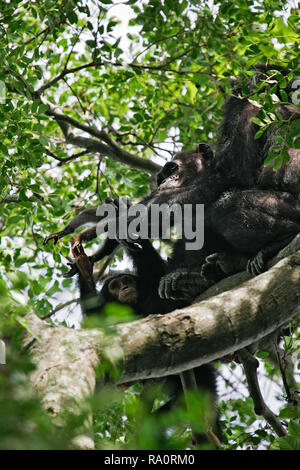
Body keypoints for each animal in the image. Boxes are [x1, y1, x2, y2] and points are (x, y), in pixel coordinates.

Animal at [69, 237, 220, 446]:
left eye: (126, 281)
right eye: (114, 286)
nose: (125, 287)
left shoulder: (151, 282)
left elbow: (156, 270)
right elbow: (96, 324)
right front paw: (84, 271)